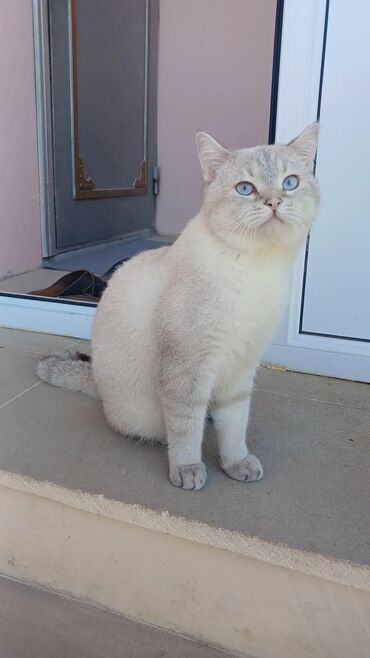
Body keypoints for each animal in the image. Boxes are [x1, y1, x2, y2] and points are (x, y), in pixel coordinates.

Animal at [38, 125, 320, 490]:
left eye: (290, 182)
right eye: (245, 189)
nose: (274, 202)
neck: (258, 269)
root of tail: (97, 383)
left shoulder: (241, 364)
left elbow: (235, 424)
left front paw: (236, 463)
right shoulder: (187, 366)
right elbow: (186, 427)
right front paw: (187, 469)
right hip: (140, 411)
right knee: (162, 426)